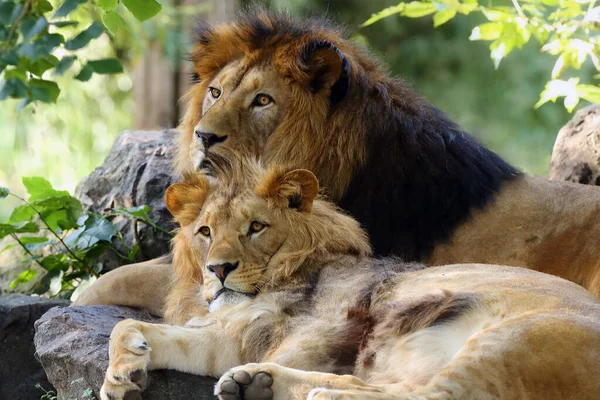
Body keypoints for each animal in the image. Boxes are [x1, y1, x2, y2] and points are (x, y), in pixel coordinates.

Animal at [99, 159, 600, 400]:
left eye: (256, 227)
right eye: (205, 232)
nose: (218, 269)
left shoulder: (323, 327)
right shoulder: (234, 338)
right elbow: (130, 326)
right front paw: (122, 374)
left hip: (516, 340)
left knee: (437, 397)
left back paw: (309, 393)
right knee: (398, 389)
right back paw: (257, 385)